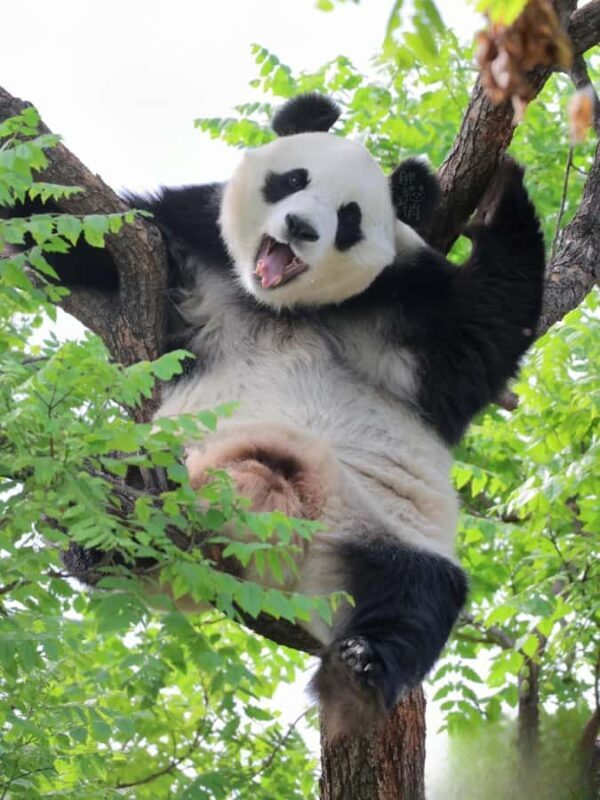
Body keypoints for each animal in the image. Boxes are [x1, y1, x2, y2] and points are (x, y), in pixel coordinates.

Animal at [60, 93, 545, 739]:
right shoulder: (190, 237)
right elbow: (86, 243)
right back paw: (111, 530)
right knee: (98, 485)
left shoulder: (410, 301)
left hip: (374, 526)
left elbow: (483, 336)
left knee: (419, 594)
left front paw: (498, 196)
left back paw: (364, 667)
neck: (286, 304)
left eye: (350, 218)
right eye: (293, 180)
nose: (300, 228)